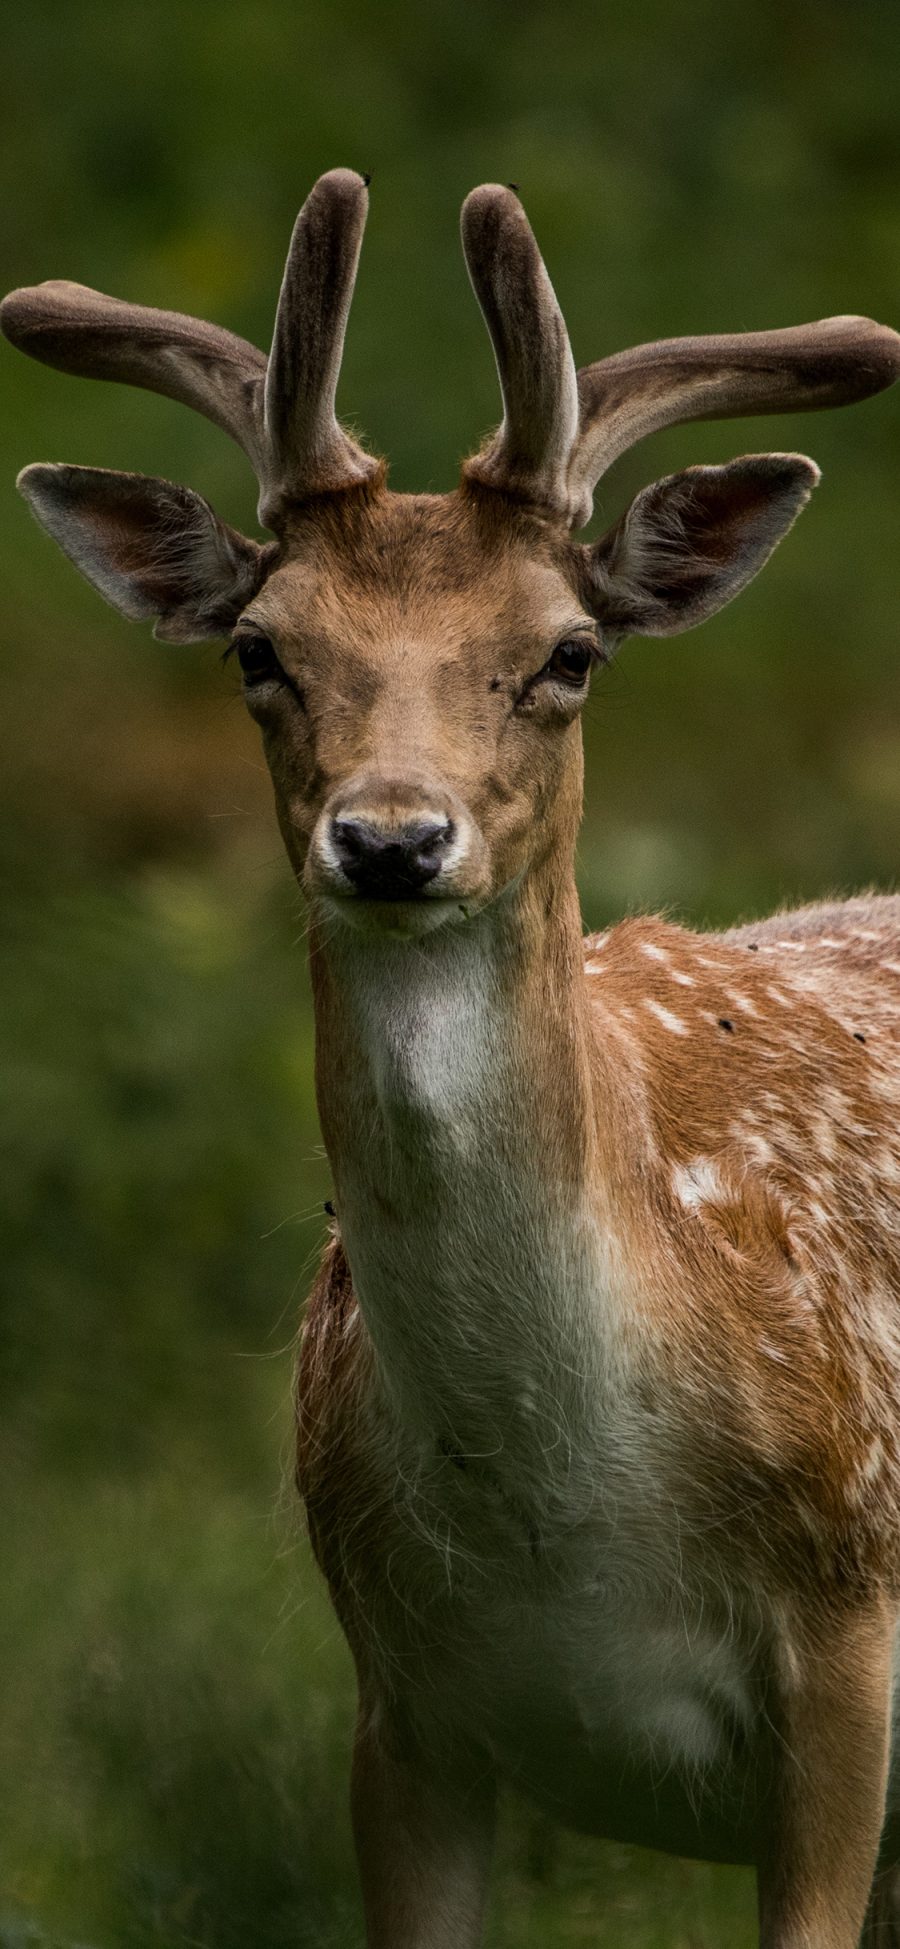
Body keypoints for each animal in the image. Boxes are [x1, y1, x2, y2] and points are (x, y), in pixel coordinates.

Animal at [5, 167, 900, 1949]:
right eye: (260, 648)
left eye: (567, 651)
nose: (393, 837)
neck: (566, 1521)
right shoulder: (400, 1707)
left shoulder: (851, 1642)